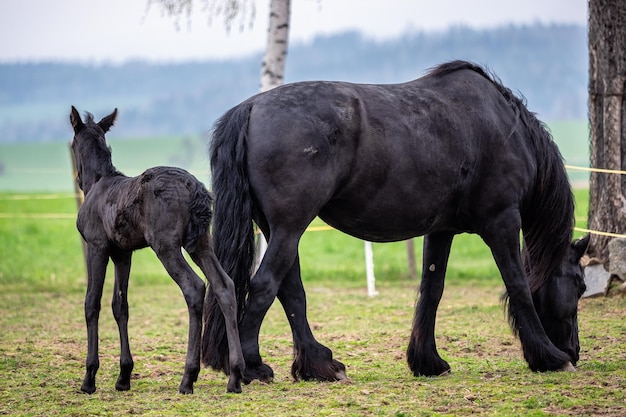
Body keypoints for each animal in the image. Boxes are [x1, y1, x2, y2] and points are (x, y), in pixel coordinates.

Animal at [69, 105, 243, 392]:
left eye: (72, 145)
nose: (78, 177)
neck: (98, 183)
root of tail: (196, 189)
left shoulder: (97, 246)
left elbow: (91, 302)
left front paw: (89, 377)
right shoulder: (123, 252)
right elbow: (120, 305)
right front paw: (123, 376)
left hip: (166, 245)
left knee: (194, 287)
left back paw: (188, 377)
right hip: (201, 243)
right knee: (224, 285)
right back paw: (235, 375)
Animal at [202, 59, 588, 384]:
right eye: (581, 286)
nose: (574, 351)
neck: (504, 126)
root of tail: (251, 108)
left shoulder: (441, 230)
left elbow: (431, 290)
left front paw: (427, 361)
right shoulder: (502, 221)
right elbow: (518, 285)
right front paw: (549, 357)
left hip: (279, 230)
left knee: (290, 290)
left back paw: (319, 365)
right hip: (289, 227)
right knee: (266, 285)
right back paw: (253, 367)